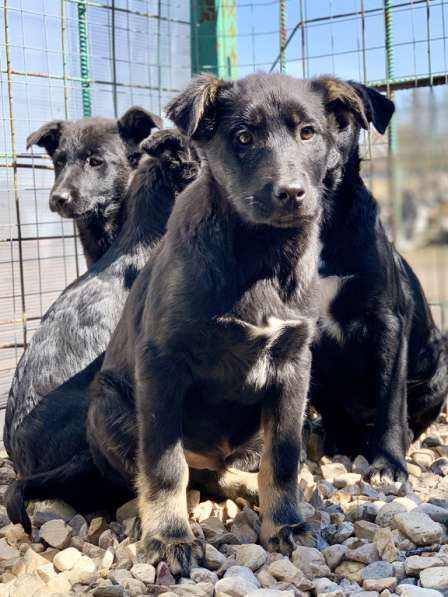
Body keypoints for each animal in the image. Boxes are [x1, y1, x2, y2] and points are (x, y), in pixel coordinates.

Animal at [86, 72, 378, 576]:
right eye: (243, 138)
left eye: (308, 133)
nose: (291, 193)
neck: (261, 254)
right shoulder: (162, 363)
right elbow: (164, 466)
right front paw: (169, 535)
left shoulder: (293, 366)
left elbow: (283, 459)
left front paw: (285, 523)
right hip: (107, 405)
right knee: (182, 473)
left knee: (220, 472)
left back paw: (248, 488)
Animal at [312, 78, 448, 480]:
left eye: (341, 109)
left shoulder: (387, 322)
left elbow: (390, 399)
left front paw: (388, 463)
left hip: (438, 365)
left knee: (411, 418)